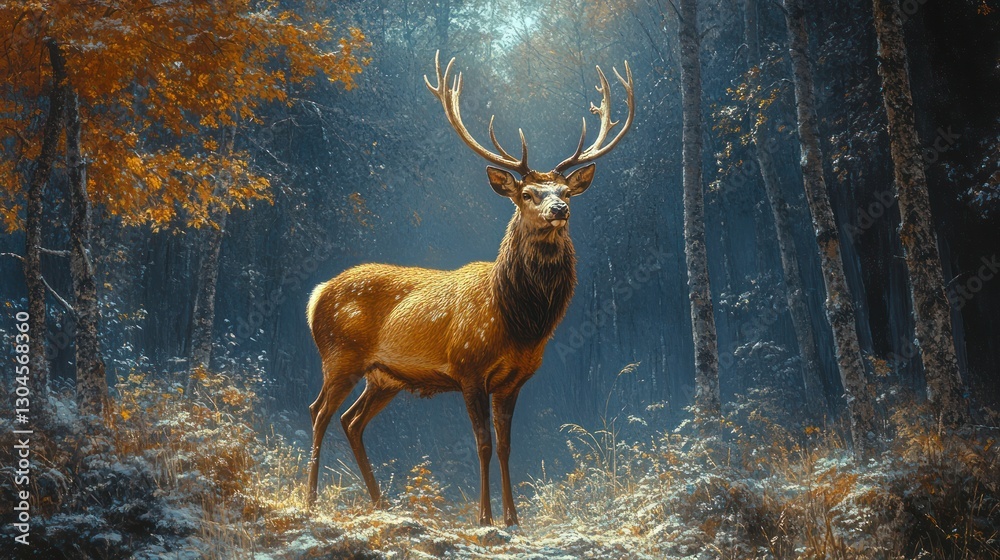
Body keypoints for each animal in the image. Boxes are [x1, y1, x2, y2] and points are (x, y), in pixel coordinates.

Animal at [306, 52, 634, 526]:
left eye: (565, 190)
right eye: (528, 193)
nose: (560, 208)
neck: (519, 321)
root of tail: (316, 295)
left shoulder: (514, 380)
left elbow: (507, 445)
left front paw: (513, 518)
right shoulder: (468, 367)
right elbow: (481, 443)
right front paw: (484, 517)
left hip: (383, 376)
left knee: (352, 421)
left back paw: (380, 503)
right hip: (339, 356)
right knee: (319, 413)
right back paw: (311, 500)